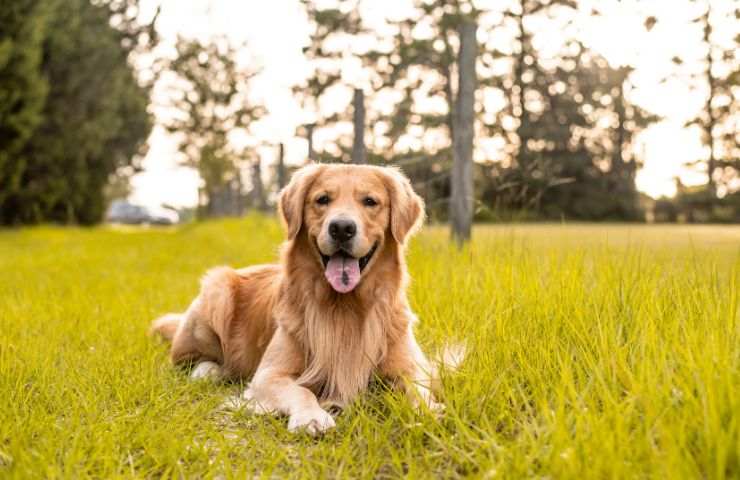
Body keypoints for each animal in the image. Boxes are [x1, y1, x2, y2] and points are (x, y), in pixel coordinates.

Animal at [150, 164, 440, 436]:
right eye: (323, 199)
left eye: (370, 201)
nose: (341, 228)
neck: (345, 307)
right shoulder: (268, 375)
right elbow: (302, 391)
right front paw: (312, 417)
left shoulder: (412, 368)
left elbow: (419, 390)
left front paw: (428, 411)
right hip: (216, 289)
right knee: (191, 359)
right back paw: (209, 371)